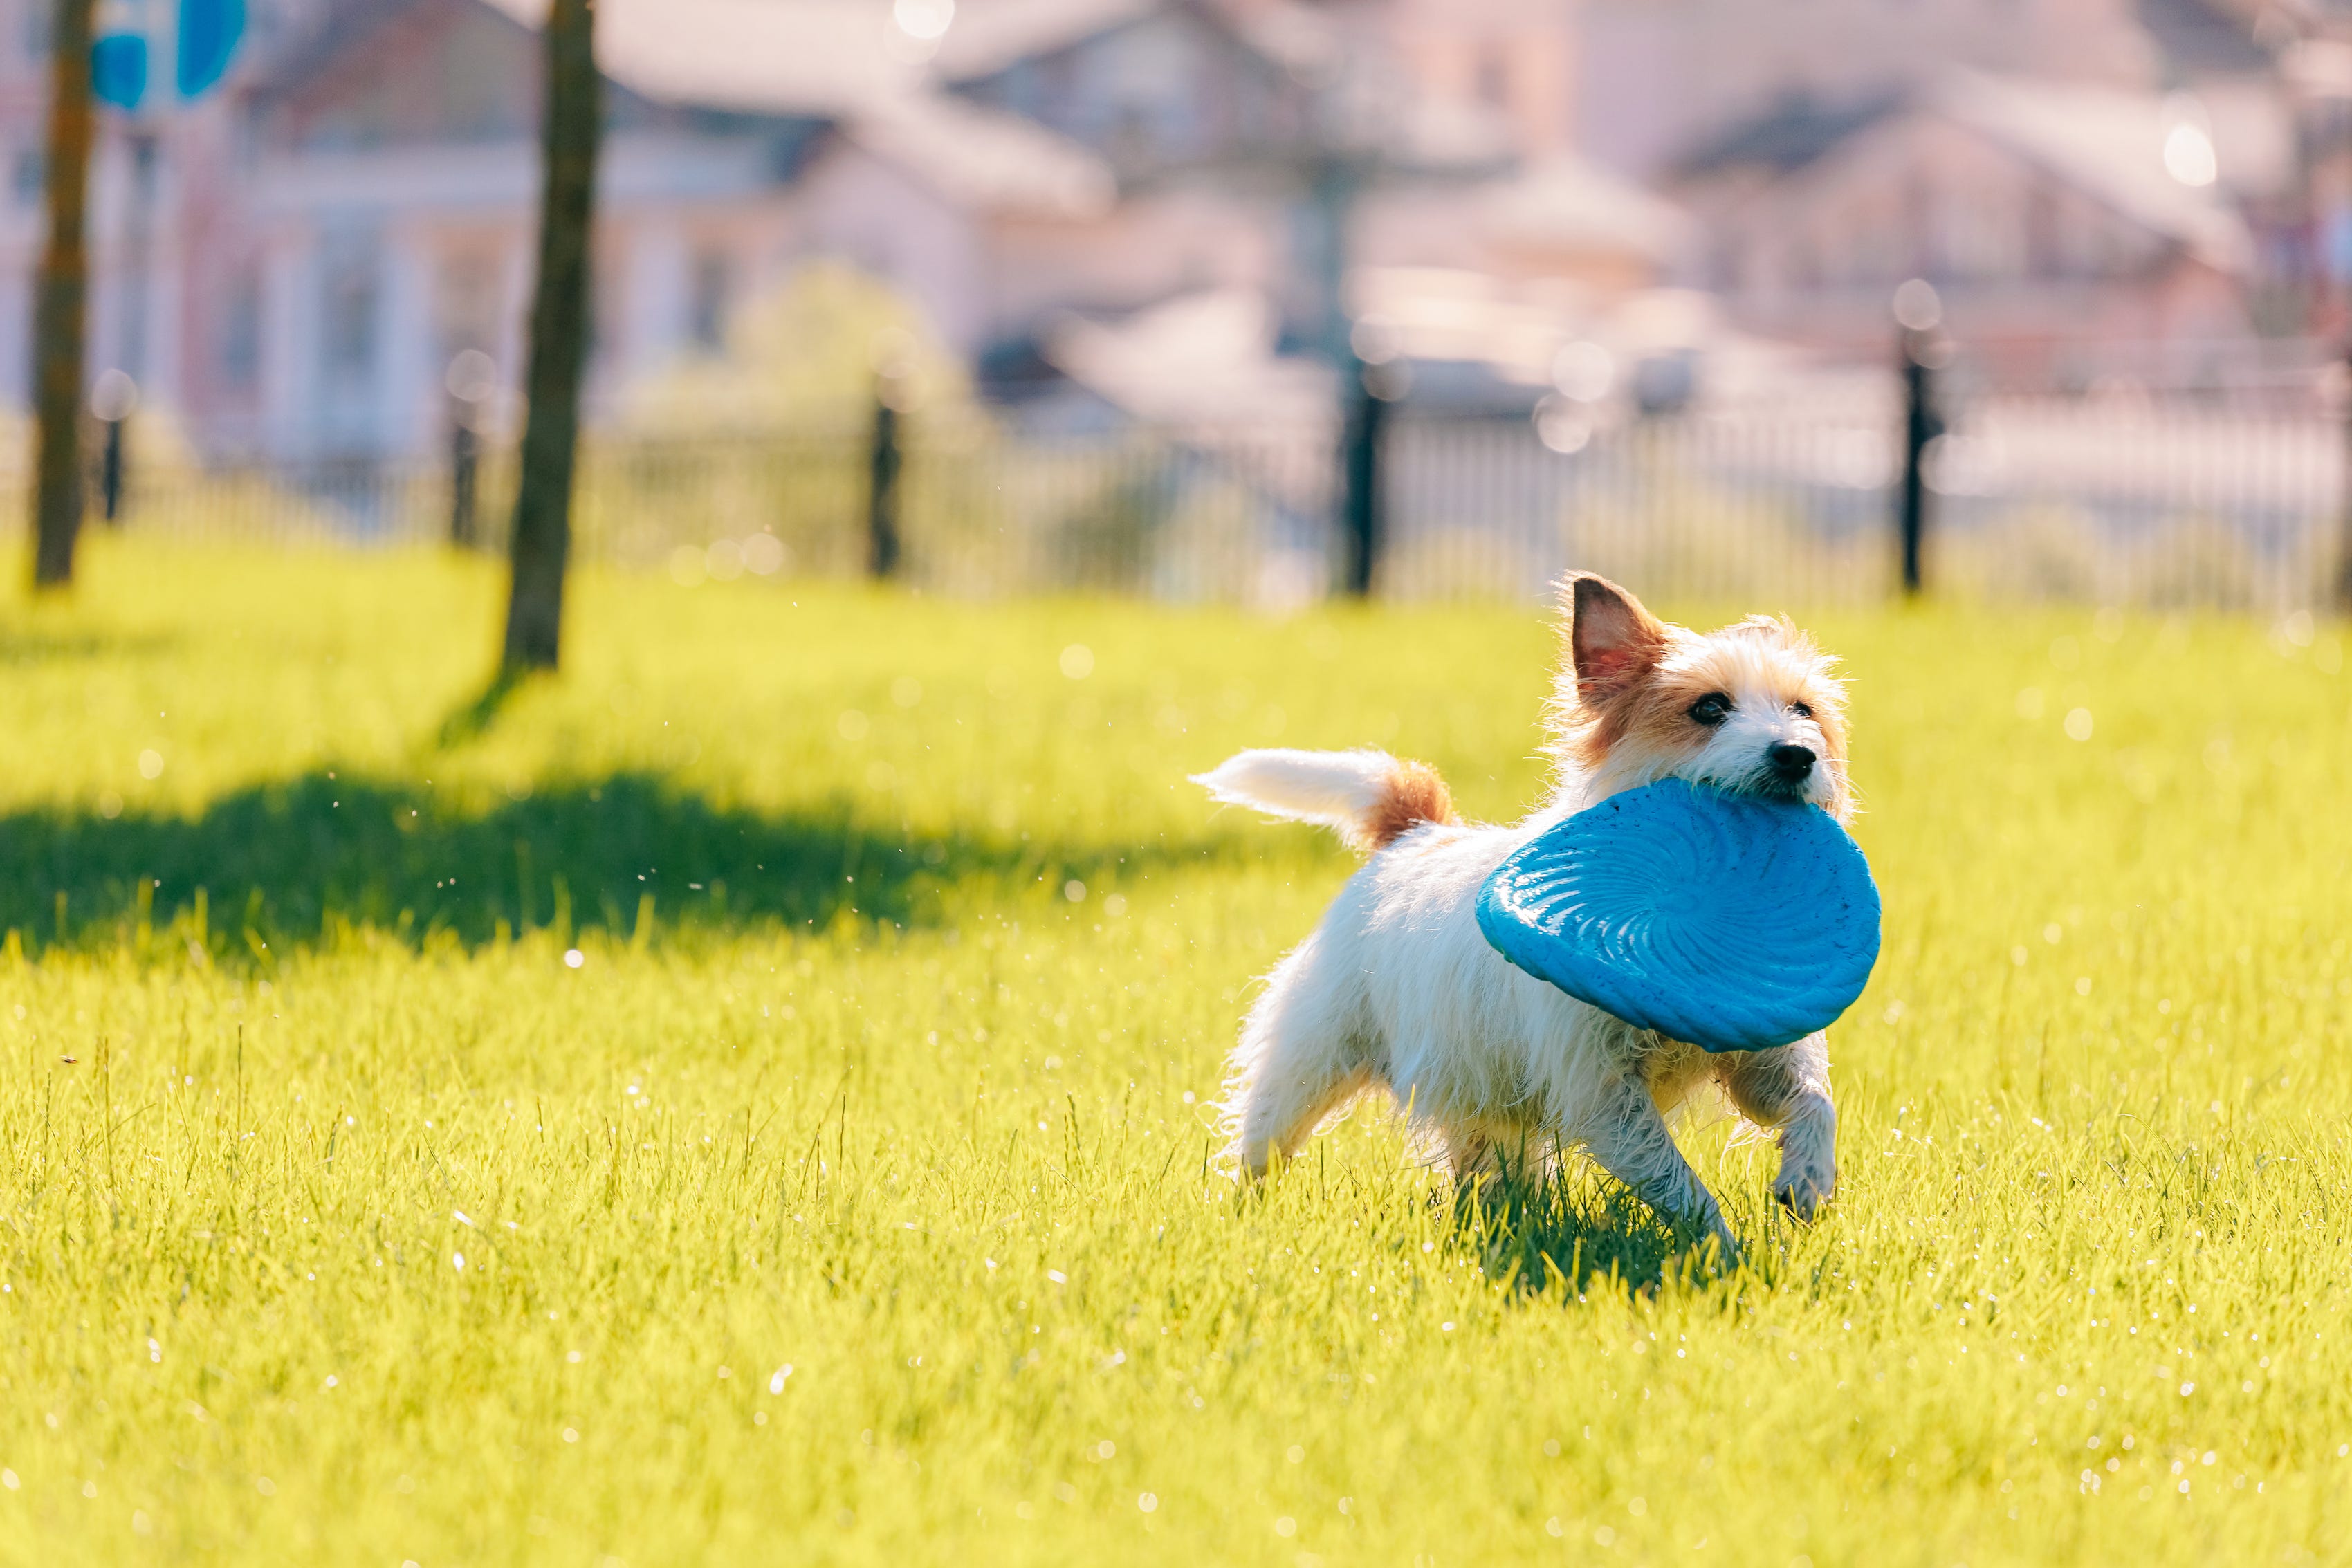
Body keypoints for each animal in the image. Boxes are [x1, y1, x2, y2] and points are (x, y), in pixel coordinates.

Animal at [1195, 571, 1853, 1260]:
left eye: (1804, 710)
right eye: (1709, 708)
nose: (1795, 754)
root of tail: (1415, 829)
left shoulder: (1760, 1054)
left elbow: (1814, 1100)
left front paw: (1808, 1178)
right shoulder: (1603, 1093)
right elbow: (1677, 1179)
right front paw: (1721, 1251)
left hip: (1477, 1093)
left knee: (1491, 1166)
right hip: (1313, 1055)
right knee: (1264, 1137)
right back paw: (1243, 1208)